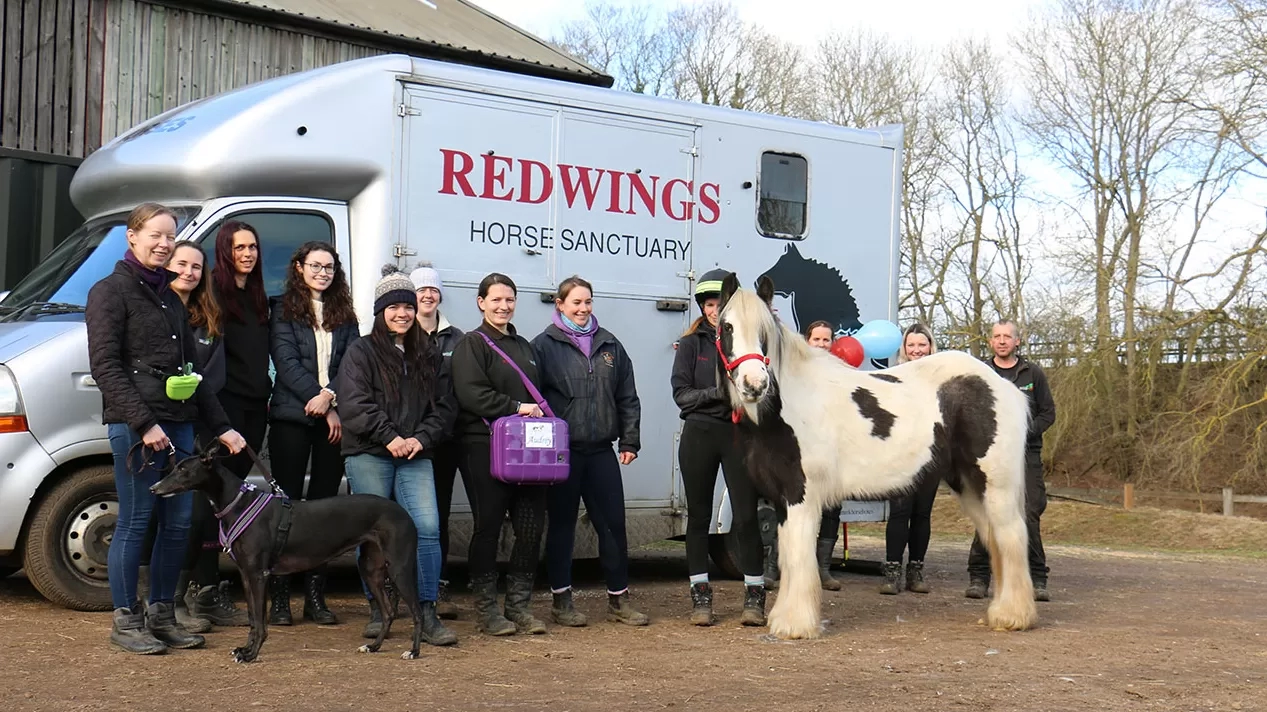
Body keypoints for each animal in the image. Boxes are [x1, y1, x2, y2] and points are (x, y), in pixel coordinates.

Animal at [719, 272, 1033, 638]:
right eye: (727, 326)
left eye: (764, 331)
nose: (754, 384)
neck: (788, 406)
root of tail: (1005, 387)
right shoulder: (782, 500)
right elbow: (787, 555)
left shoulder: (801, 495)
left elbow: (798, 556)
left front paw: (795, 624)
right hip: (969, 485)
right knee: (995, 540)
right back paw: (1000, 612)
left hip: (996, 485)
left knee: (1012, 537)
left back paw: (1015, 616)